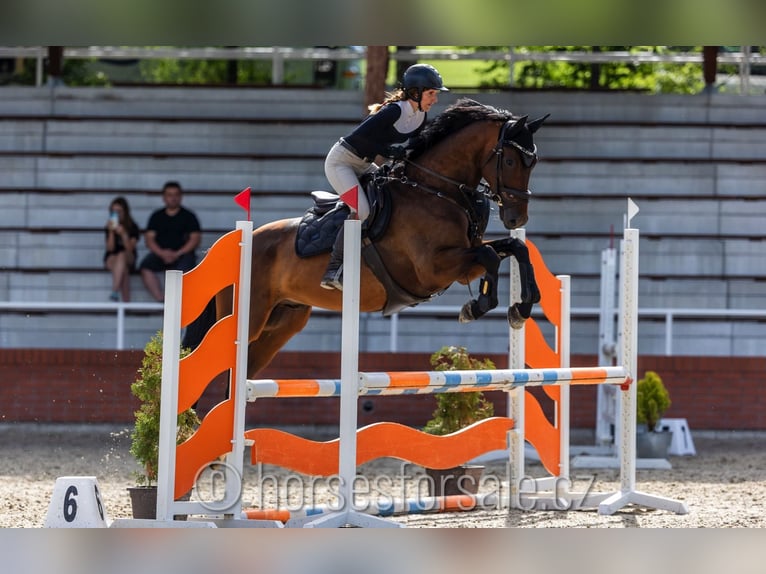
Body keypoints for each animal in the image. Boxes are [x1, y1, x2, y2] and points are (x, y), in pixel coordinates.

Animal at [219, 98, 548, 378]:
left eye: (533, 163)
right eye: (510, 162)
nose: (517, 219)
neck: (435, 190)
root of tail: (237, 241)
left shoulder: (463, 263)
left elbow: (515, 248)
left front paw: (521, 309)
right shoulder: (433, 270)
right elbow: (490, 256)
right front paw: (476, 307)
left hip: (283, 323)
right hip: (251, 319)